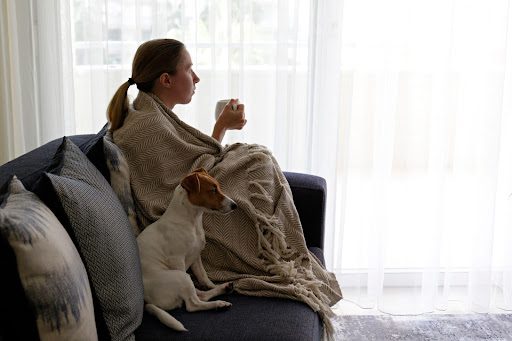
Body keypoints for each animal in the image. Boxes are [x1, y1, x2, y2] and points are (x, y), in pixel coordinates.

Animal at [138, 167, 238, 330]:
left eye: (218, 187)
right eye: (212, 190)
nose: (235, 205)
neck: (192, 221)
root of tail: (146, 302)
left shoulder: (196, 256)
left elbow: (203, 277)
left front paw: (212, 285)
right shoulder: (177, 259)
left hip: (185, 278)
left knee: (200, 295)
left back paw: (224, 288)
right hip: (181, 276)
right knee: (193, 304)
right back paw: (219, 304)